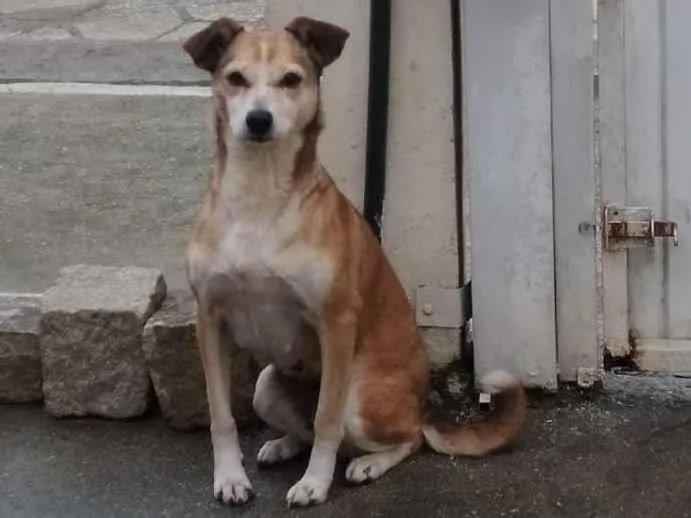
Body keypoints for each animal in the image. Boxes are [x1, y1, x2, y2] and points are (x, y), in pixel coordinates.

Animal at [181, 15, 528, 508]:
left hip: (361, 398)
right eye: (236, 78)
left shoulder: (336, 321)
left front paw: (314, 484)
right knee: (306, 429)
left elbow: (326, 419)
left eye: (291, 80)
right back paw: (283, 444)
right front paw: (230, 477)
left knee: (405, 437)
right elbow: (221, 414)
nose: (259, 119)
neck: (259, 198)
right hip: (267, 386)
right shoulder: (209, 318)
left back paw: (367, 463)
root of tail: (421, 404)